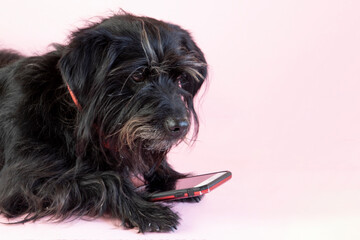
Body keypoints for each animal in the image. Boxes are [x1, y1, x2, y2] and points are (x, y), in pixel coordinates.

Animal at [0, 13, 207, 232]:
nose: (181, 126)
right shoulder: (21, 182)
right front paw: (144, 210)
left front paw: (175, 179)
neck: (68, 110)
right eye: (138, 75)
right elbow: (107, 179)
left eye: (179, 77)